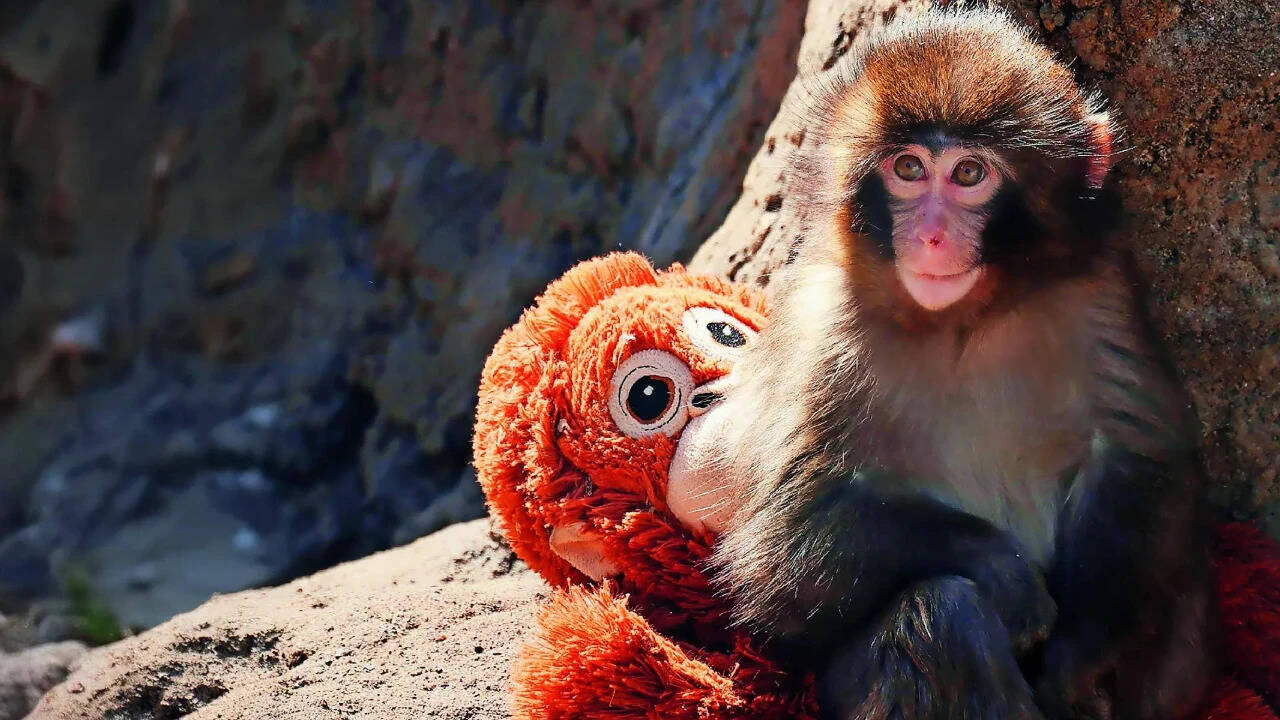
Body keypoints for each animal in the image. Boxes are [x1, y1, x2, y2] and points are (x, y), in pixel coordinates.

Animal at [706, 6, 1215, 720]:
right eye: (909, 168)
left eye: (970, 175)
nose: (931, 236)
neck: (962, 322)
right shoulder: (821, 327)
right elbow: (780, 548)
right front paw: (999, 567)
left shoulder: (1099, 289)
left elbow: (1136, 456)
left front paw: (1077, 658)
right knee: (944, 610)